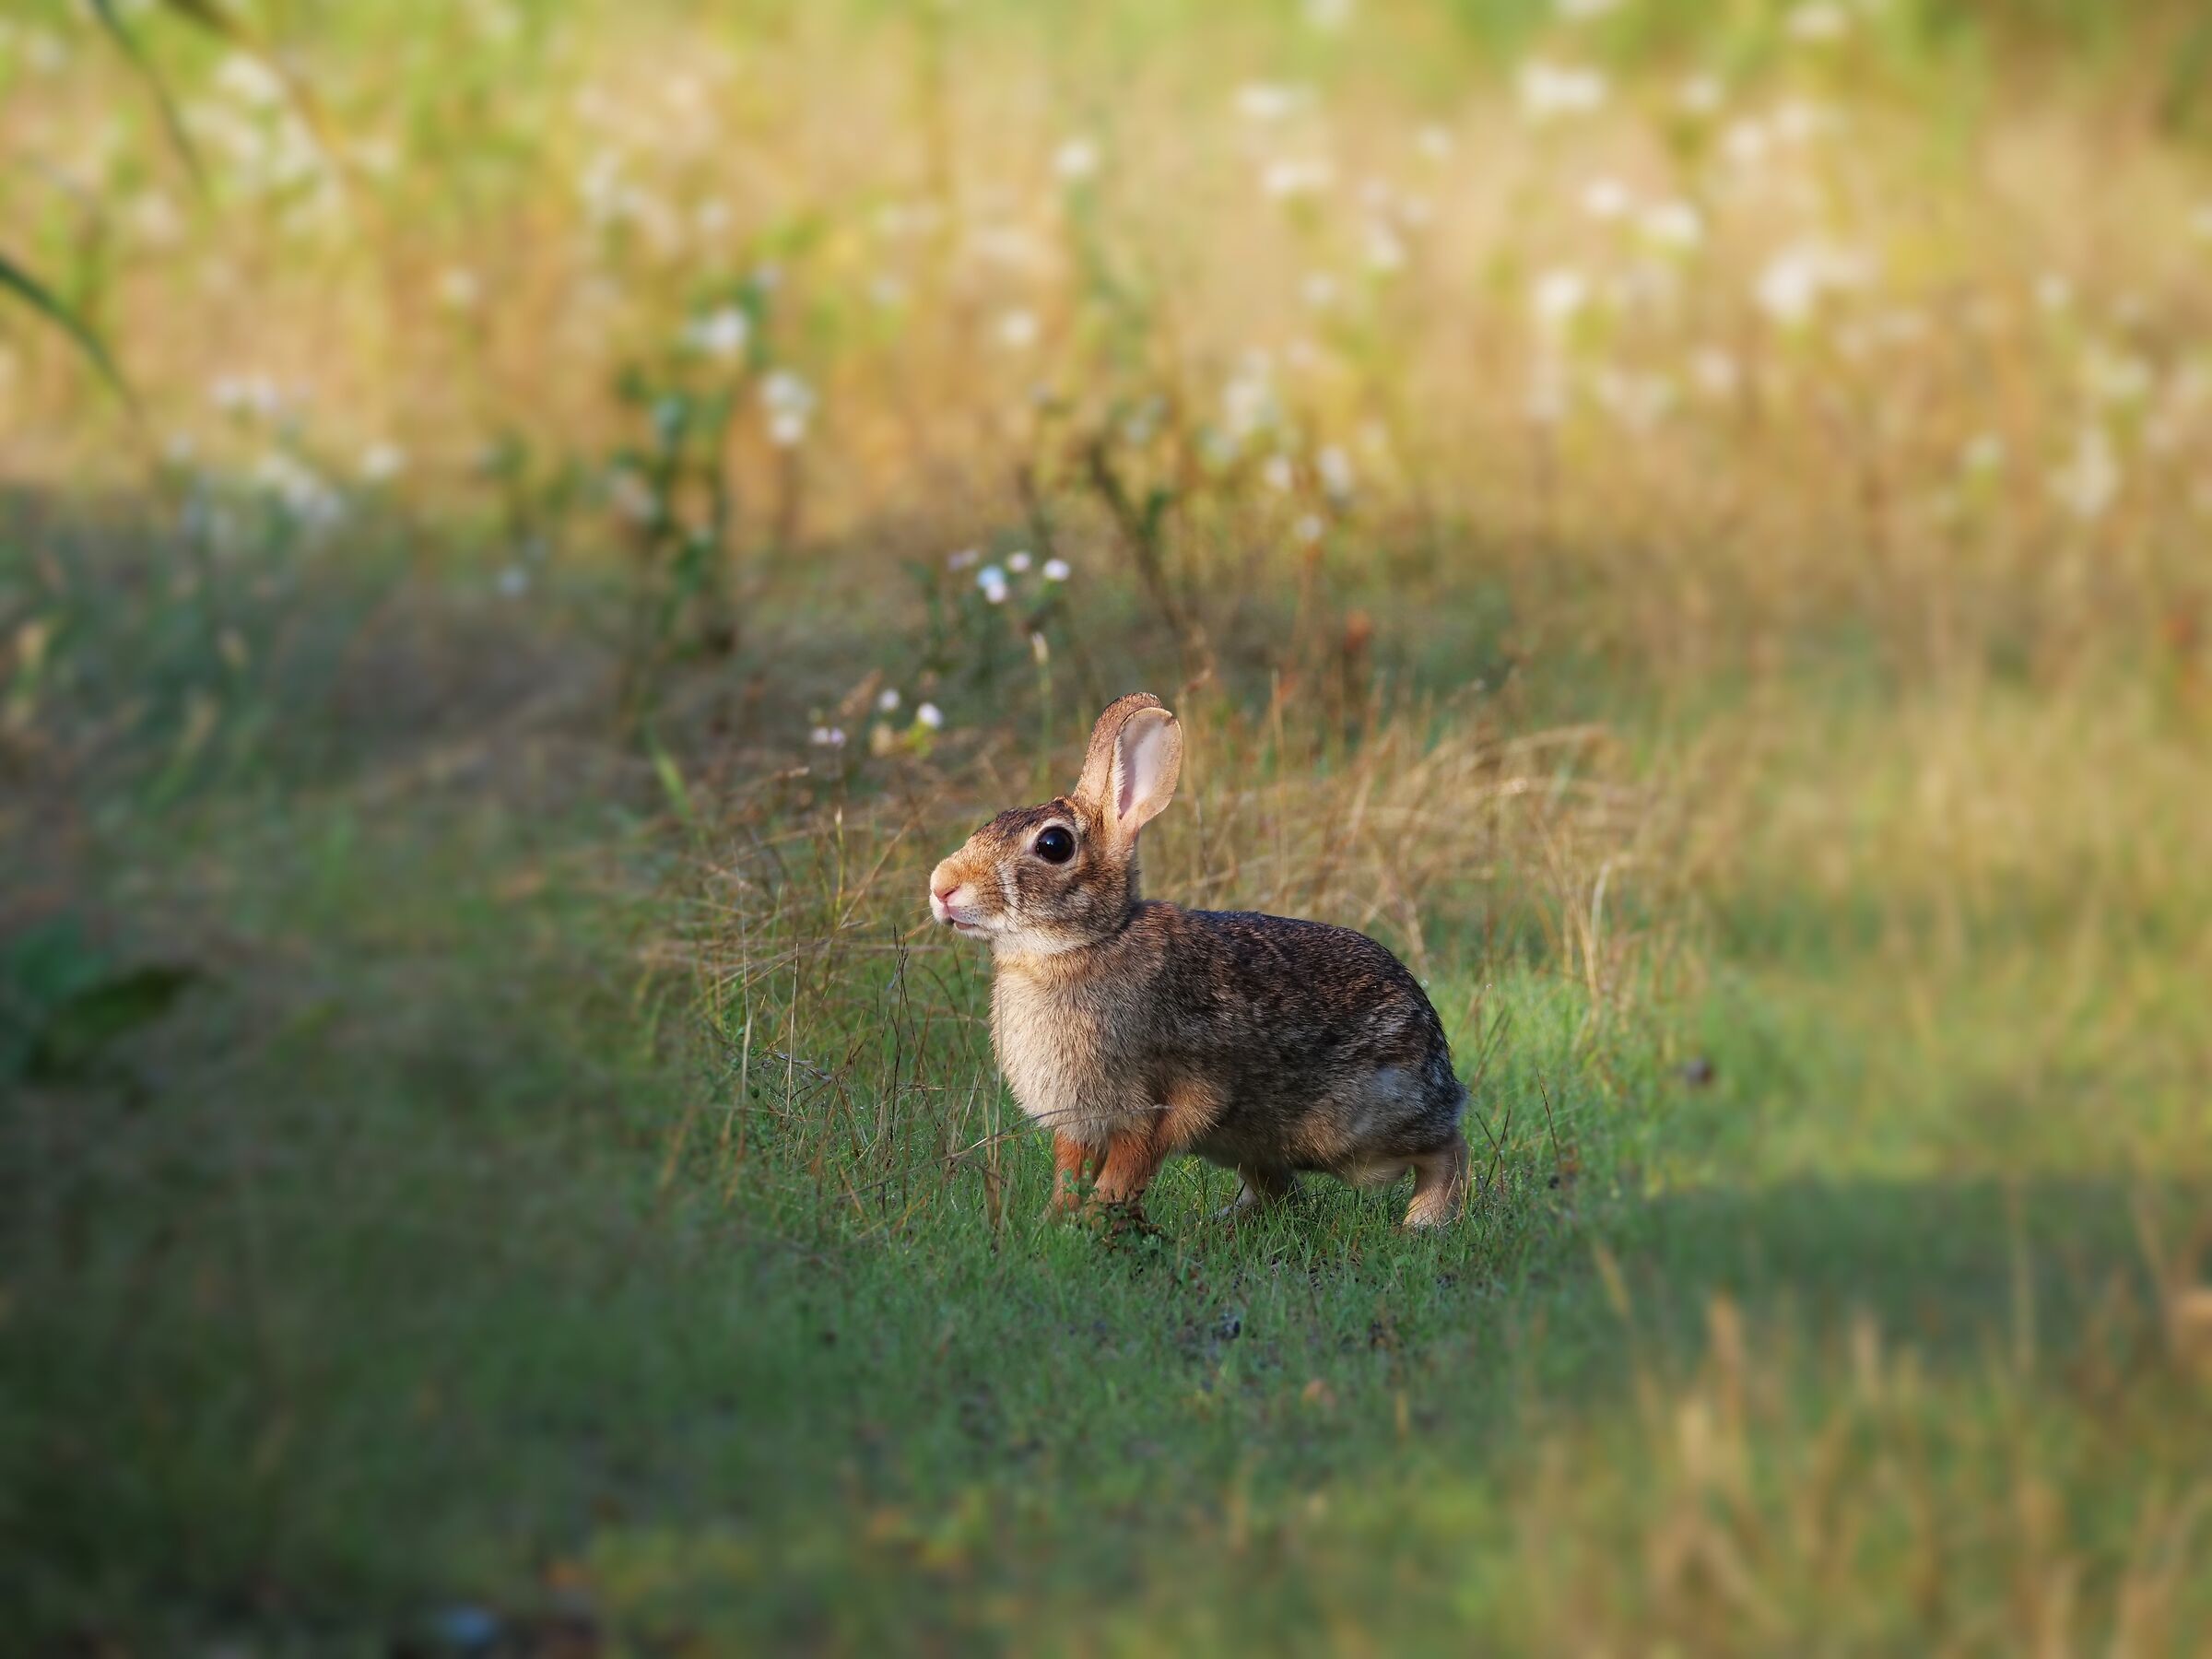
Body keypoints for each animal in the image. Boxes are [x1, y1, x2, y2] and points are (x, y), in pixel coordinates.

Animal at [927, 692, 1470, 1229]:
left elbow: (1132, 1161)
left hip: (1355, 1130)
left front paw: (1097, 1216)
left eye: (1053, 845)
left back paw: (1424, 1222)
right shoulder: (1079, 1122)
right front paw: (1056, 1221)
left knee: (1448, 1146)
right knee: (1278, 1190)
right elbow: (1069, 1170)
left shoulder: (1170, 1100)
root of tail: (1438, 1058)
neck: (1086, 944)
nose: (942, 887)